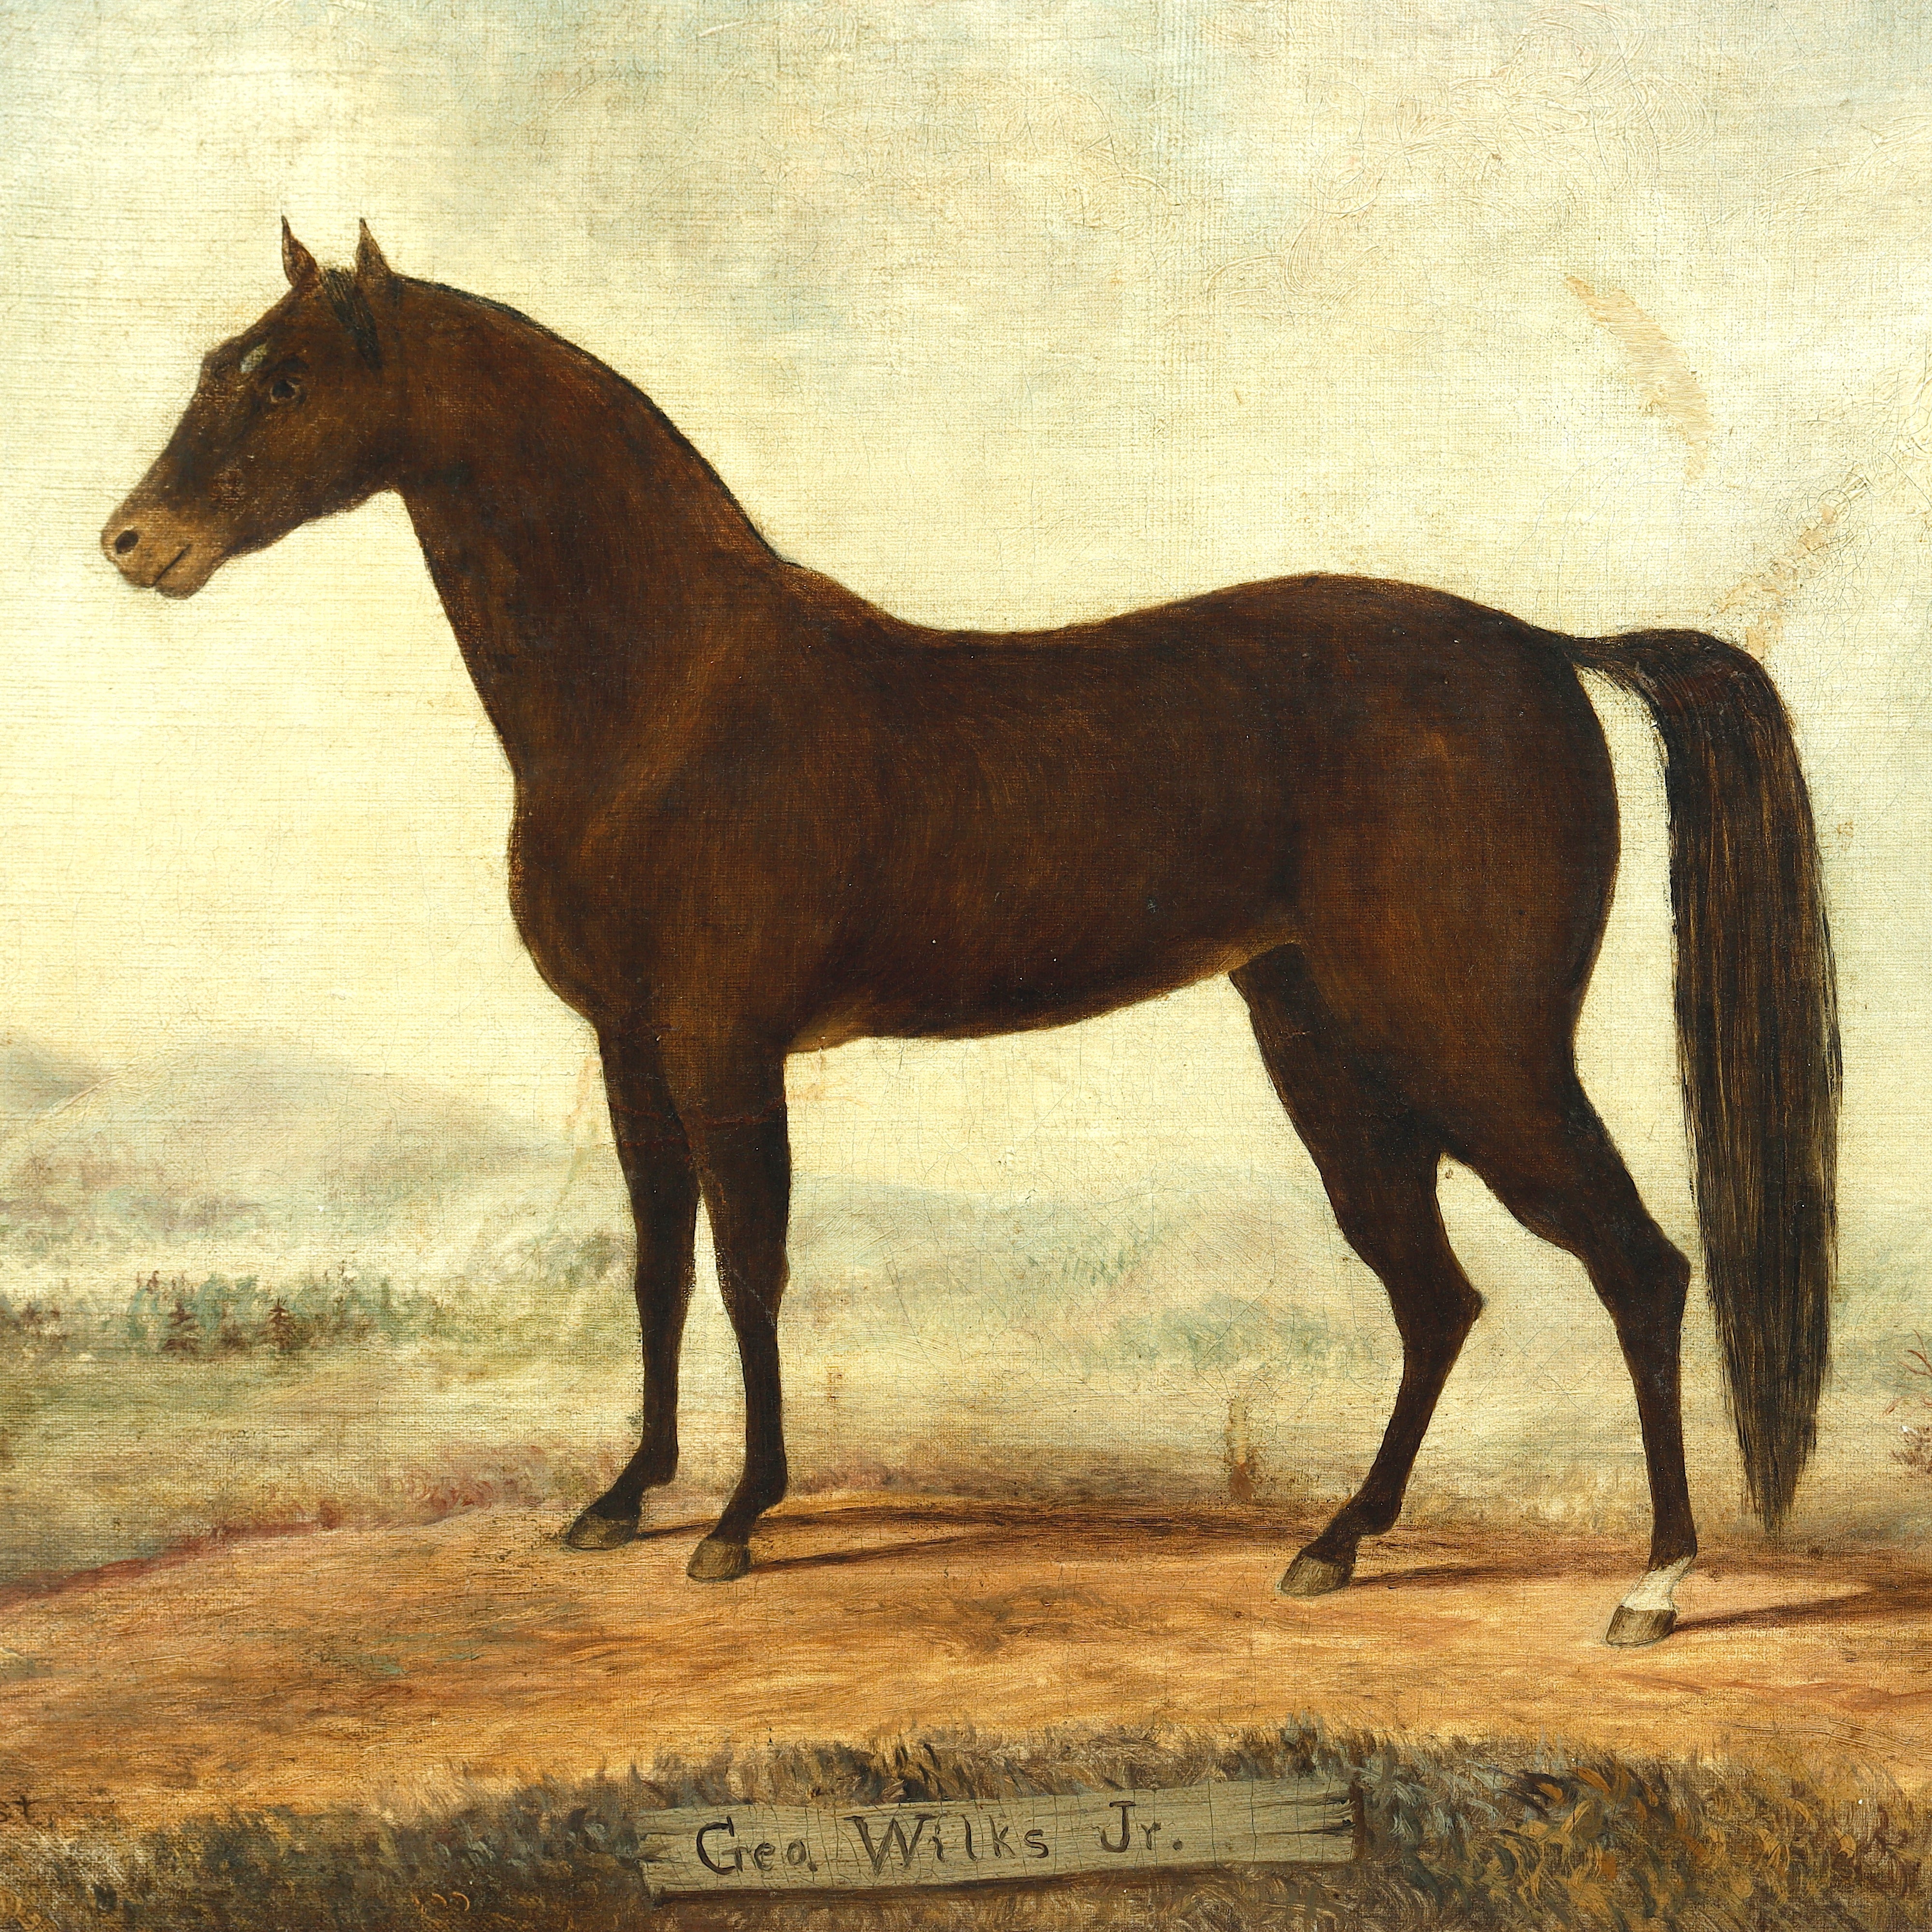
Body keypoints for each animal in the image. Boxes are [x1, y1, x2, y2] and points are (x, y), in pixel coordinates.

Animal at [103, 225, 1838, 1646]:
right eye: (218, 364)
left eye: (284, 377)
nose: (134, 542)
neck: (671, 693)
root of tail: (1548, 648)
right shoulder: (629, 1049)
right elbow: (661, 1265)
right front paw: (623, 1496)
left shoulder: (723, 1045)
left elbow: (750, 1266)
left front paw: (737, 1520)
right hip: (1330, 1055)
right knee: (1439, 1297)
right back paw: (1336, 1546)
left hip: (1477, 1049)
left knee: (1638, 1269)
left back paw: (1654, 1587)